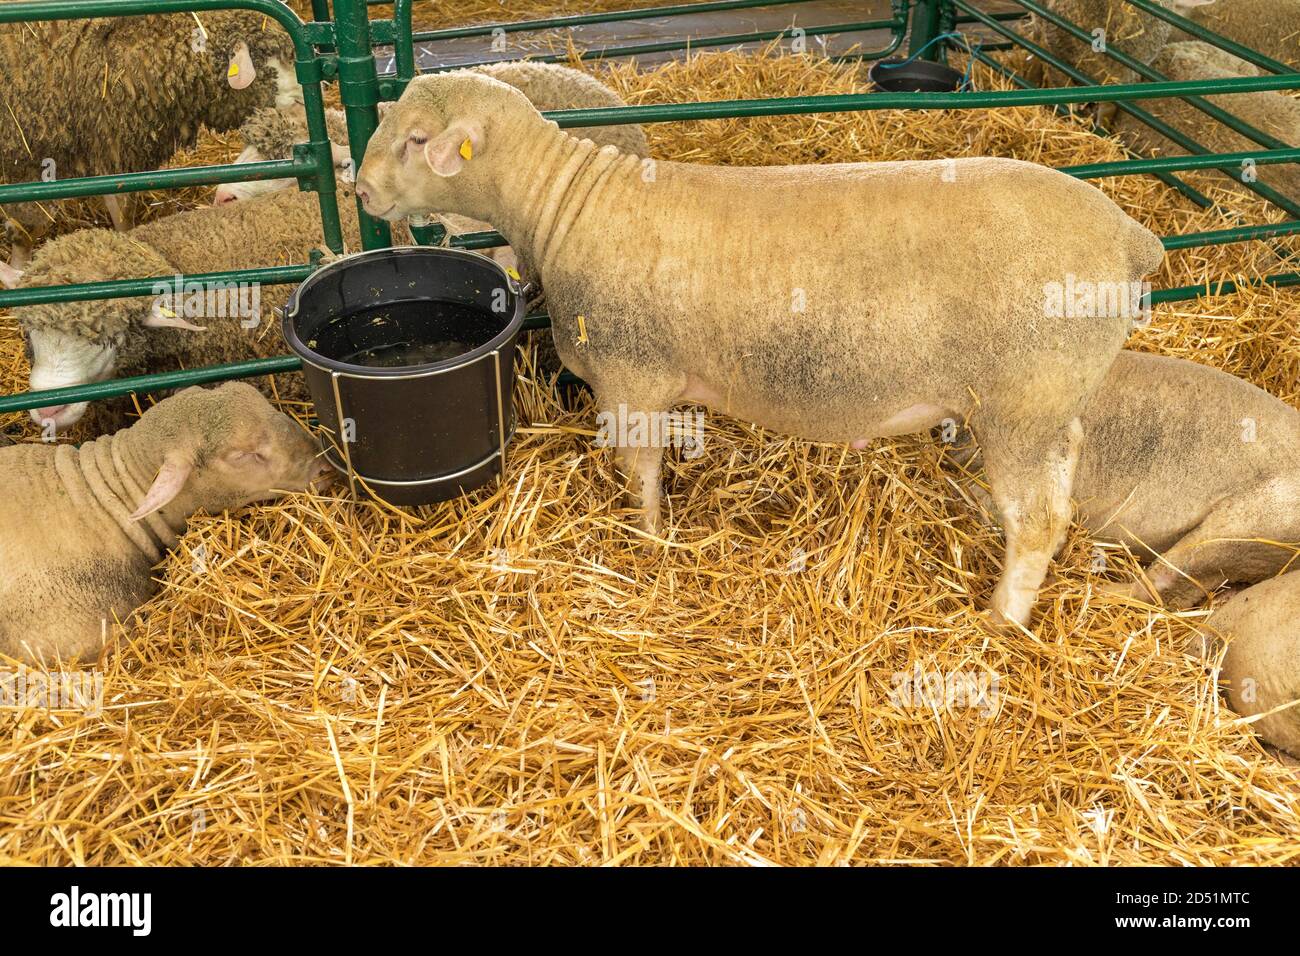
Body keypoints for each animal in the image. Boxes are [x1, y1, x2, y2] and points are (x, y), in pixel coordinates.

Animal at [0, 9, 299, 263]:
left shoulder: (111, 144)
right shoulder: (27, 159)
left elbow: (121, 211)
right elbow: (26, 229)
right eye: (273, 59)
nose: (301, 99)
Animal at [354, 70, 1165, 626]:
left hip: (1022, 402)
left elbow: (639, 475)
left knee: (1037, 521)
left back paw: (1000, 618)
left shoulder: (631, 375)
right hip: (1054, 404)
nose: (359, 193)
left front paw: (650, 546)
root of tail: (1132, 238)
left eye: (417, 140)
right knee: (1059, 493)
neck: (564, 203)